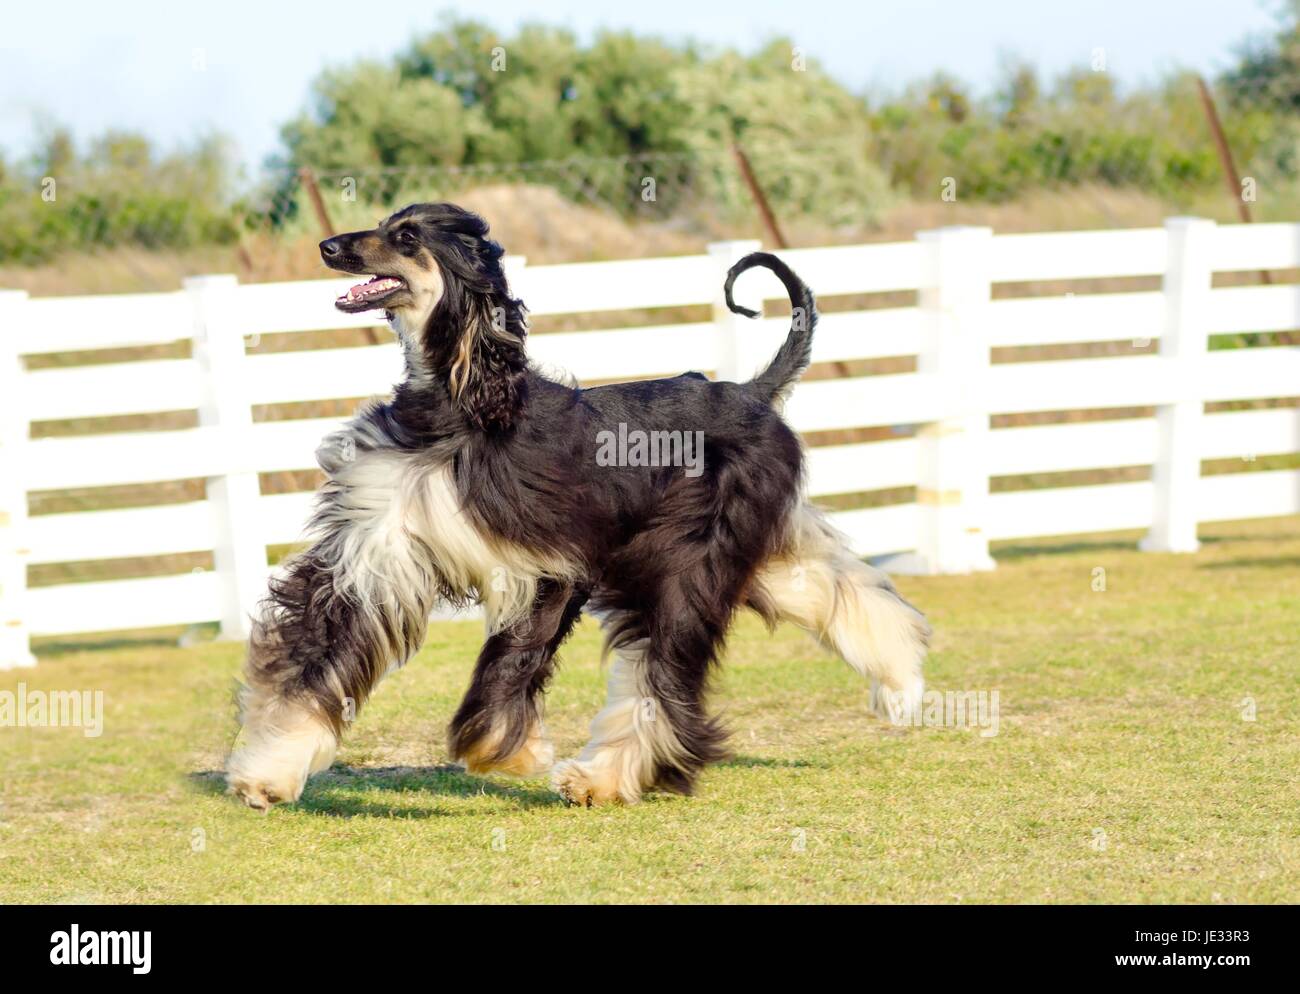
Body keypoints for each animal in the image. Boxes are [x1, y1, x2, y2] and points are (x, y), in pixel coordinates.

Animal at [226, 200, 935, 805]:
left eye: (405, 236)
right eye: (381, 223)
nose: (328, 246)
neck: (464, 404)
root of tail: (752, 392)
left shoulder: (555, 563)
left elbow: (514, 658)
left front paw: (500, 748)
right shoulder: (378, 547)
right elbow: (319, 658)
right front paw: (270, 772)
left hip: (690, 558)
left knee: (664, 668)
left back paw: (604, 776)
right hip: (734, 550)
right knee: (830, 586)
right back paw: (901, 681)